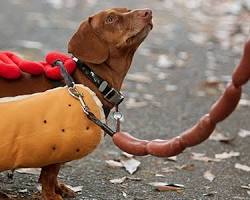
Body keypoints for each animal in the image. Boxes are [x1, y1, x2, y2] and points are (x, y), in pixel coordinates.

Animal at [0, 7, 152, 200]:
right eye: (110, 19)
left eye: (127, 10)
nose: (148, 12)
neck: (93, 77)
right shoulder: (56, 147)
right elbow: (49, 175)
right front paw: (51, 195)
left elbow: (52, 175)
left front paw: (60, 188)